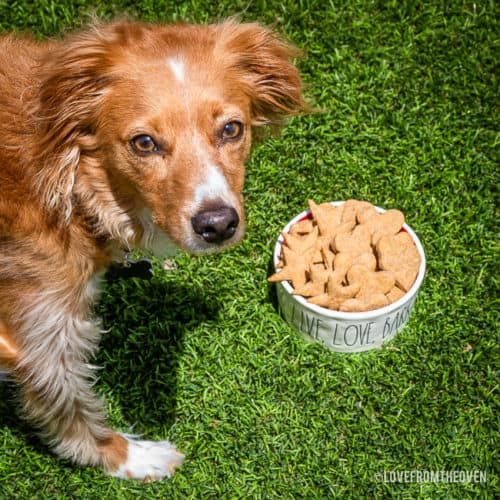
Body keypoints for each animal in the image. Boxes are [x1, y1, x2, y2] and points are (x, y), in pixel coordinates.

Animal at [0, 20, 304, 480]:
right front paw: (129, 457)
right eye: (144, 143)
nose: (218, 224)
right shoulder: (41, 331)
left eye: (231, 129)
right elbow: (71, 408)